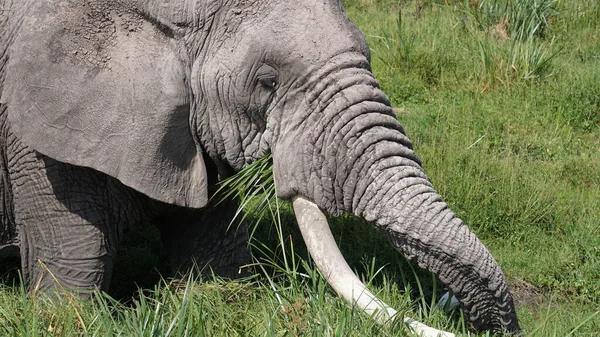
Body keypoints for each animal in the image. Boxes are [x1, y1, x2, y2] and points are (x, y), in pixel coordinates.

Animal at [0, 0, 520, 334]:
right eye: (268, 82)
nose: (487, 327)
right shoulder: (38, 134)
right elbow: (73, 269)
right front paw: (69, 317)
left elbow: (213, 253)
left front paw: (216, 298)